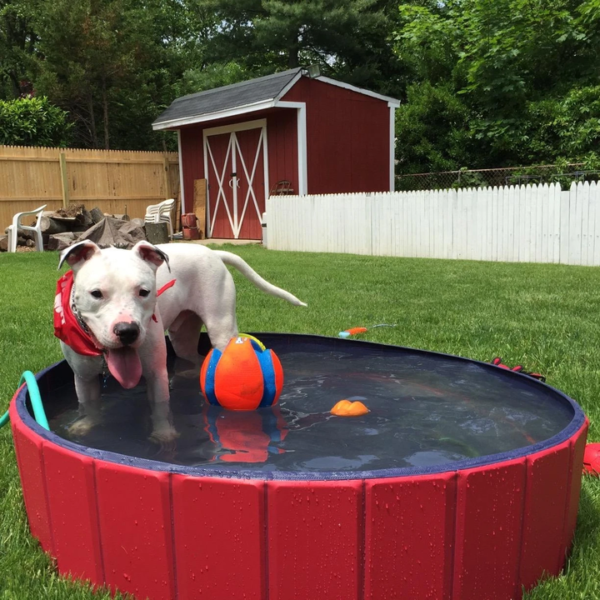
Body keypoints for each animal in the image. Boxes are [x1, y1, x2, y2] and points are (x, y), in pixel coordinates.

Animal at [54, 239, 308, 440]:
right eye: (96, 293)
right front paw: (85, 425)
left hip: (221, 329)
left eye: (144, 292)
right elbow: (89, 405)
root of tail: (213, 252)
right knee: (196, 357)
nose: (127, 331)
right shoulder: (84, 378)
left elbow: (160, 408)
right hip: (182, 338)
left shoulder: (156, 372)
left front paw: (164, 434)